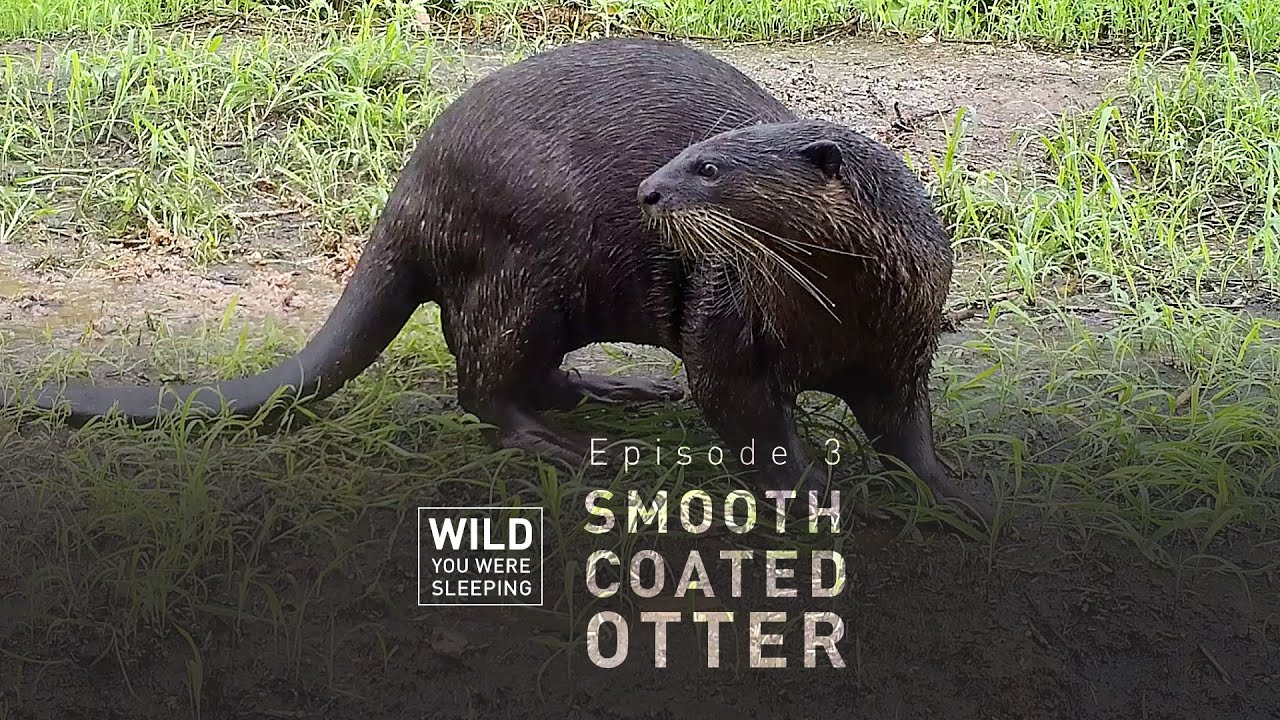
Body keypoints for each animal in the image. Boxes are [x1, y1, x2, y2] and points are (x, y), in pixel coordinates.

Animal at [2, 38, 989, 526]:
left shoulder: (905, 340)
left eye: (709, 167)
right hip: (523, 264)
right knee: (478, 381)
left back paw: (617, 390)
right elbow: (747, 416)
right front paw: (816, 493)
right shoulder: (729, 319)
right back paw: (565, 447)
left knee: (519, 366)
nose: (647, 189)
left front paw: (956, 493)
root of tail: (409, 195)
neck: (840, 311)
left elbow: (906, 428)